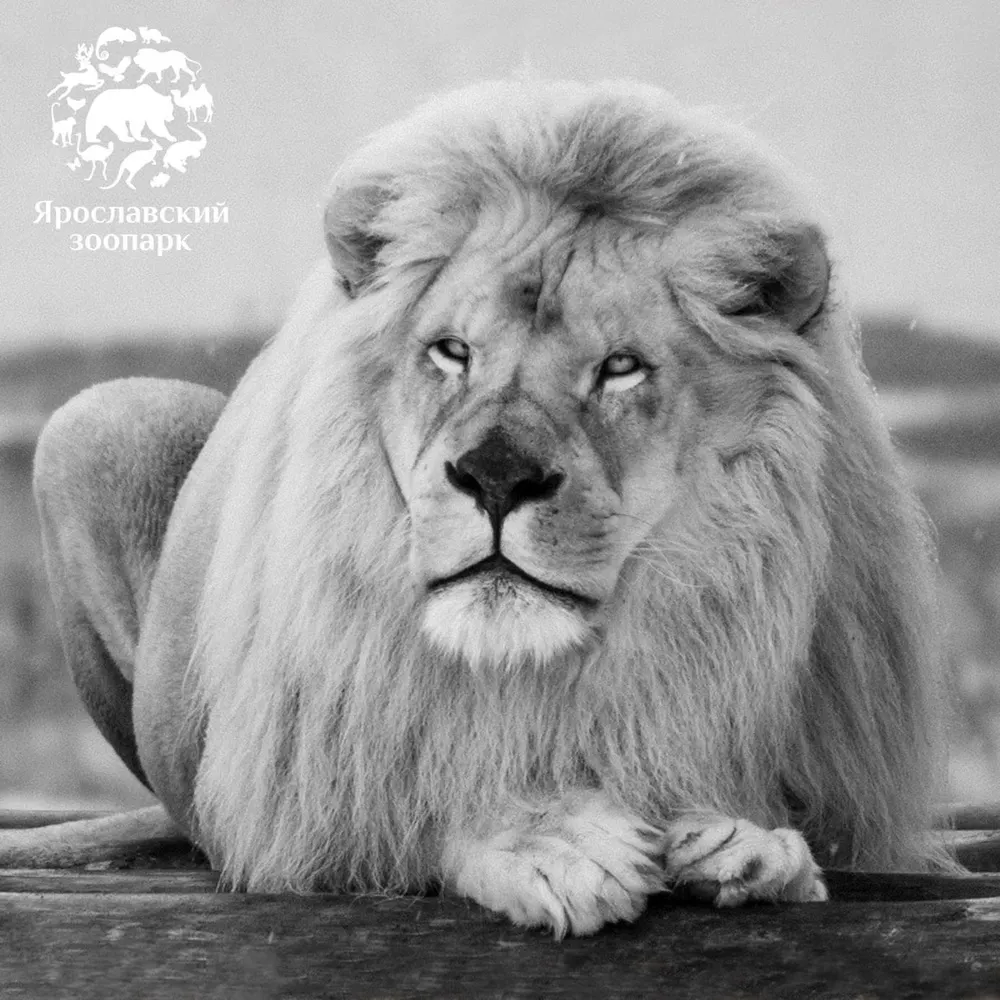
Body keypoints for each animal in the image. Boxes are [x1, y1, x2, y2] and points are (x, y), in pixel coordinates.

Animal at [7, 79, 954, 937]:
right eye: (452, 352)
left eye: (620, 367)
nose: (495, 478)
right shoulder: (298, 802)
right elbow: (407, 806)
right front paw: (549, 841)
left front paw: (748, 843)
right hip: (95, 422)